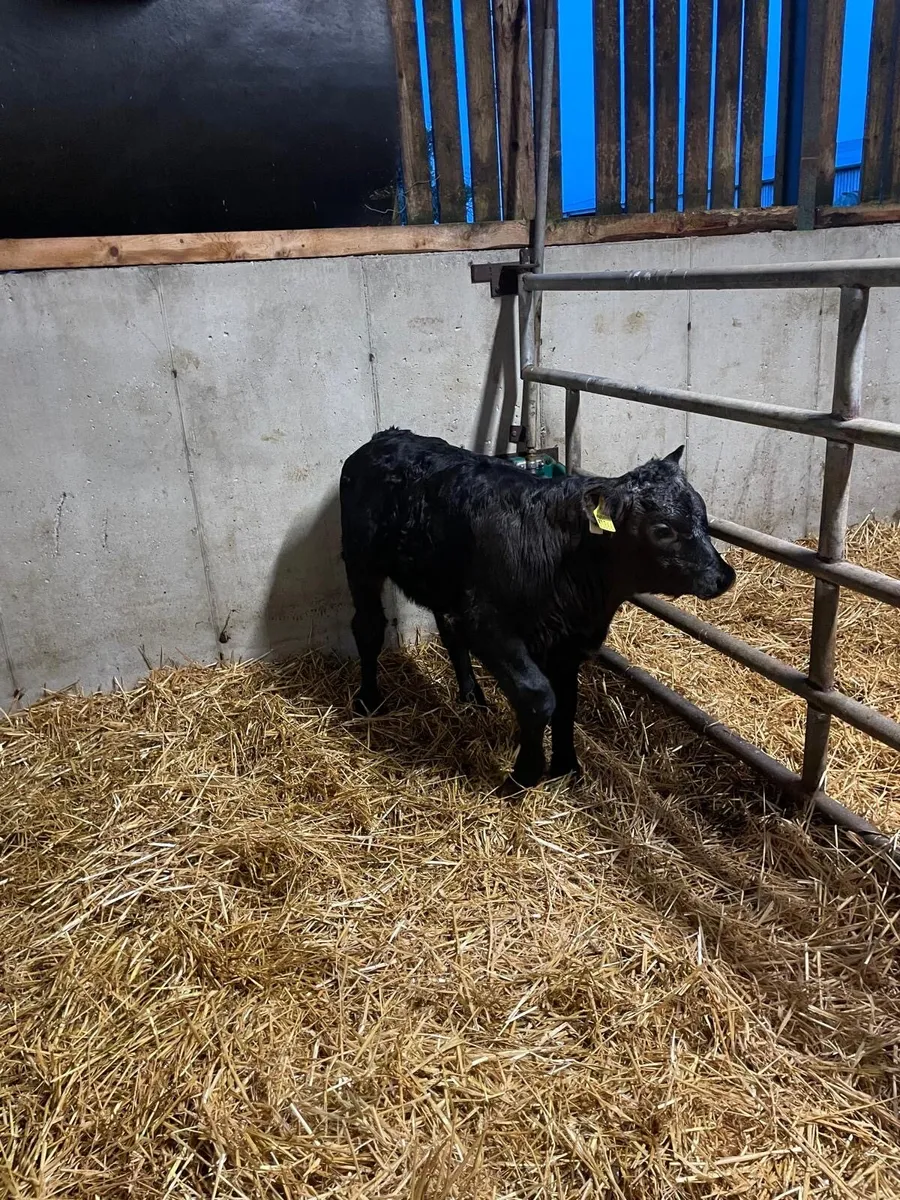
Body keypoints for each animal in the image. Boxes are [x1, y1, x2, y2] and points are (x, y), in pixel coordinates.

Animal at [339, 428, 735, 793]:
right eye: (663, 530)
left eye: (703, 516)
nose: (724, 576)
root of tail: (387, 436)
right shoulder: (488, 625)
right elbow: (539, 696)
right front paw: (523, 776)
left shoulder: (568, 642)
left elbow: (567, 704)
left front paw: (567, 767)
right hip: (361, 560)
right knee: (368, 627)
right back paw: (368, 700)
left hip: (442, 580)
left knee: (449, 631)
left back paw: (471, 697)